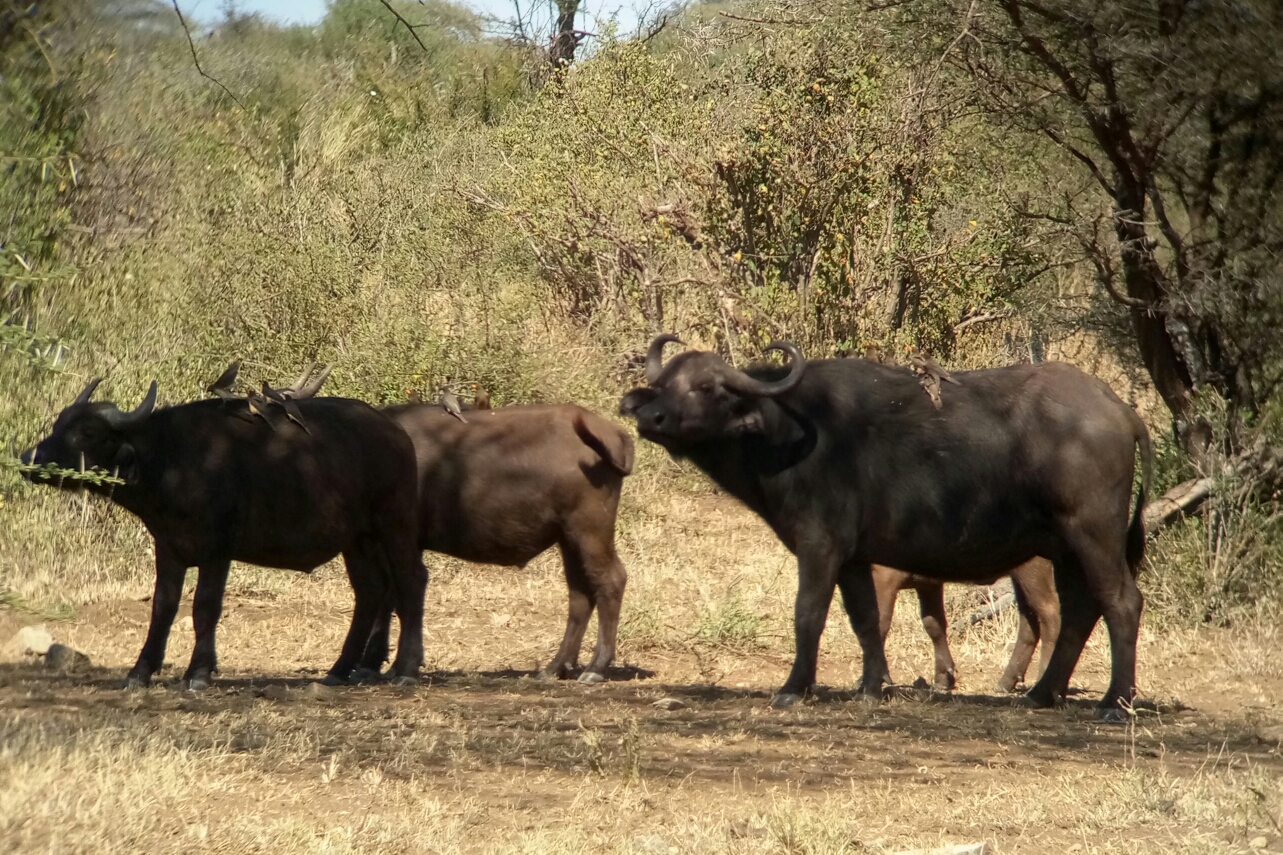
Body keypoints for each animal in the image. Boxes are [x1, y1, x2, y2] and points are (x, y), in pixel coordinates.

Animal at [361, 403, 636, 682]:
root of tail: (613, 433)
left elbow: (400, 593)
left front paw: (394, 666)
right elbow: (389, 596)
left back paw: (596, 667)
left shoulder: (396, 536)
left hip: (589, 529)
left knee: (611, 580)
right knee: (580, 594)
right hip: (568, 538)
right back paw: (555, 668)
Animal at [872, 559, 1062, 693]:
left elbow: (880, 625)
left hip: (1033, 568)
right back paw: (1006, 682)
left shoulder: (883, 577)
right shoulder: (928, 583)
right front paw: (943, 679)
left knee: (1050, 613)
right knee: (1028, 619)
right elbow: (934, 625)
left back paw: (1043, 682)